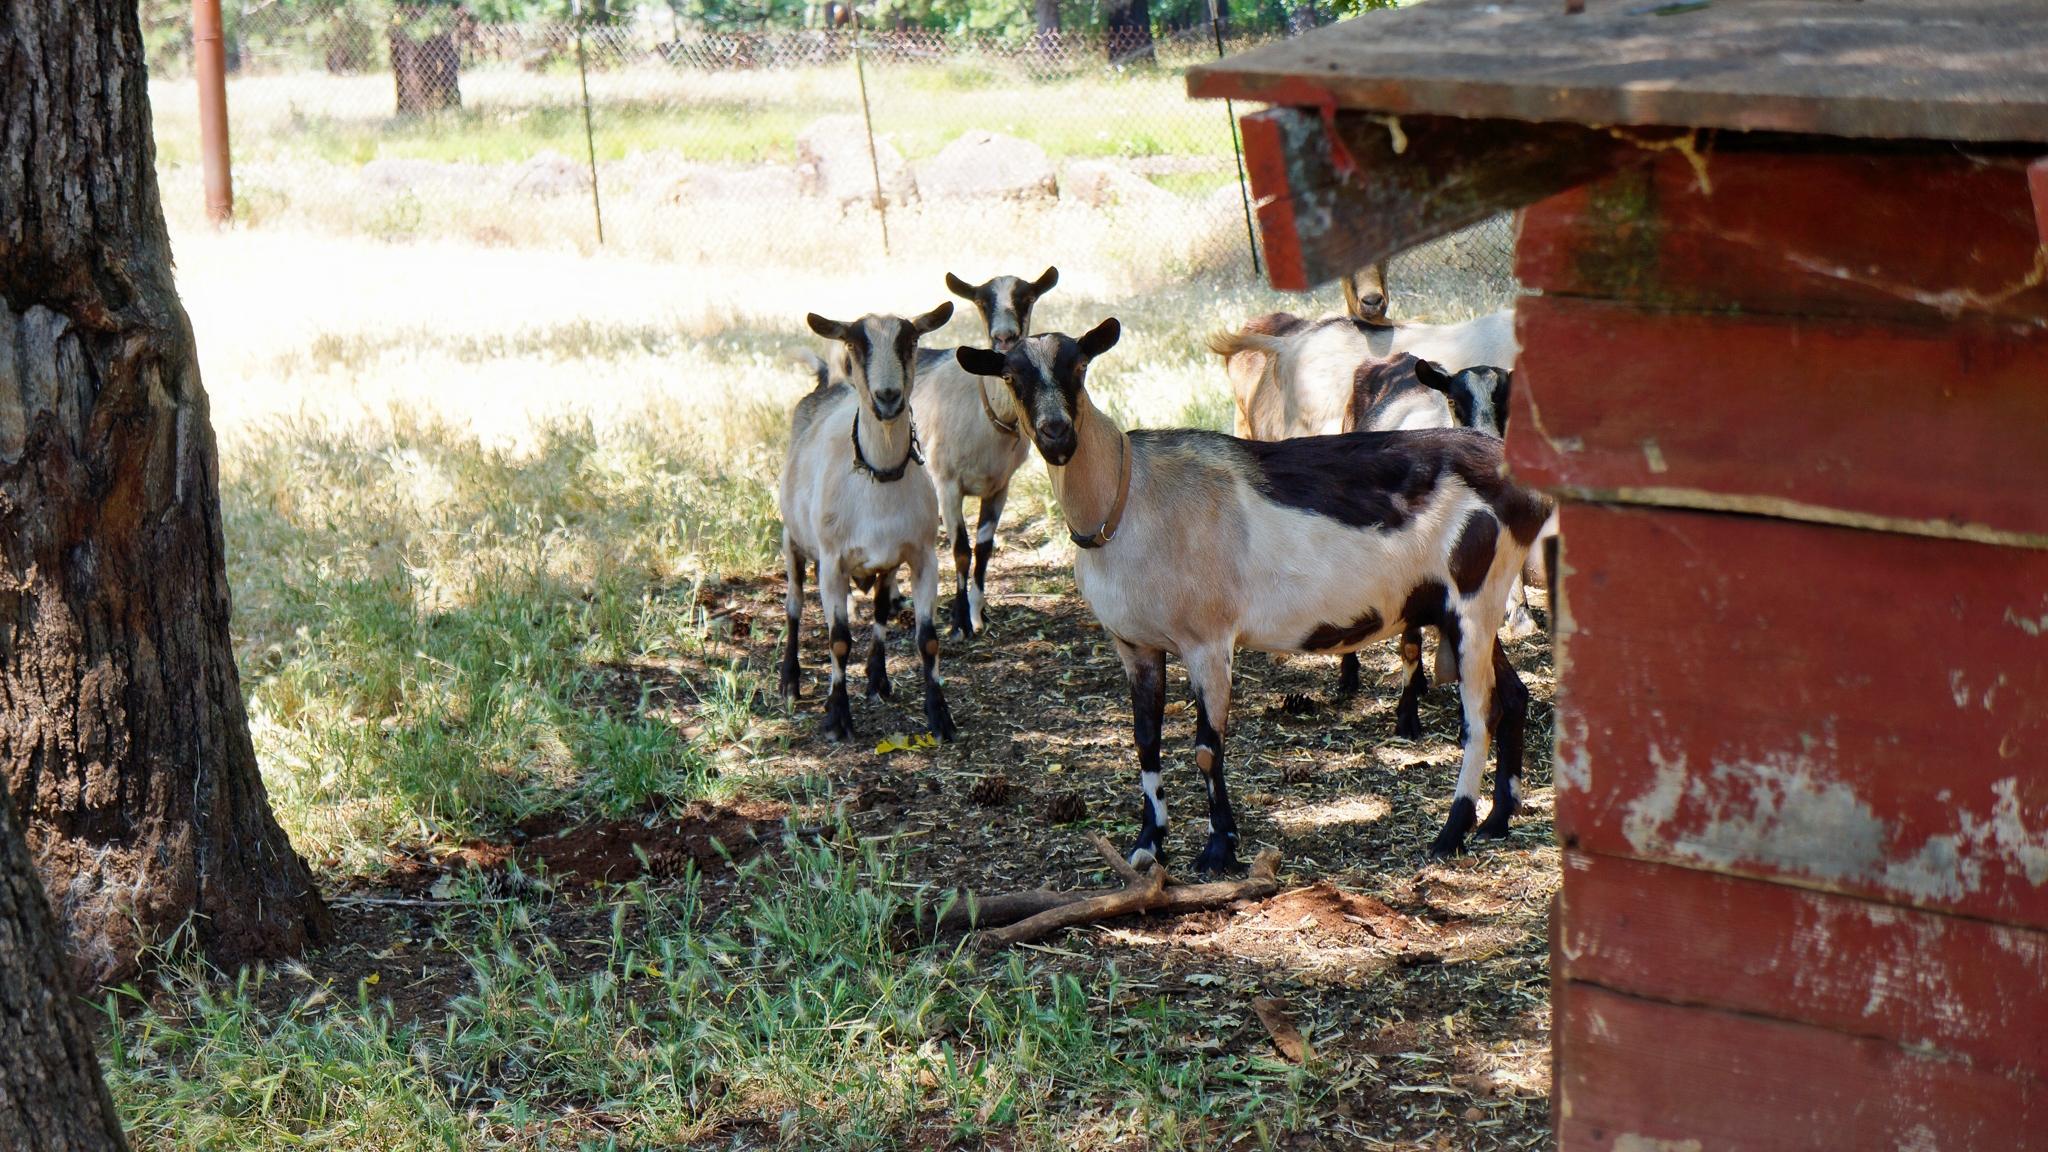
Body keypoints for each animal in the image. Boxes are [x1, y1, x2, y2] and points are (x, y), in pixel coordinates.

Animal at [780, 304, 959, 743]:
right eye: (855, 344)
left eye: (910, 341)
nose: (888, 396)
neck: (879, 476)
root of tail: (828, 385)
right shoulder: (832, 562)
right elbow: (838, 641)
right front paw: (837, 718)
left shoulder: (923, 556)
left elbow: (928, 640)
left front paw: (940, 717)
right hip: (791, 538)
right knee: (793, 605)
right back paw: (790, 682)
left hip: (887, 562)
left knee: (879, 610)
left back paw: (878, 679)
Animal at [910, 266, 1059, 638]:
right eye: (980, 301)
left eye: (1026, 298)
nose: (1004, 337)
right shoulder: (947, 484)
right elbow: (961, 550)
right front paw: (959, 623)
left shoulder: (999, 486)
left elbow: (984, 548)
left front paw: (979, 615)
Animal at [959, 323, 1550, 870]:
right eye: (1010, 376)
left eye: (1079, 367)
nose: (1057, 435)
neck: (1128, 497)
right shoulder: (1133, 645)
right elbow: (1146, 742)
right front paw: (1148, 845)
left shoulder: (1207, 641)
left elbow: (1205, 747)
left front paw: (1219, 848)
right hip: (1462, 607)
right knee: (1513, 696)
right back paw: (1498, 820)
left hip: (1474, 596)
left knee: (1479, 716)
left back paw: (1451, 834)